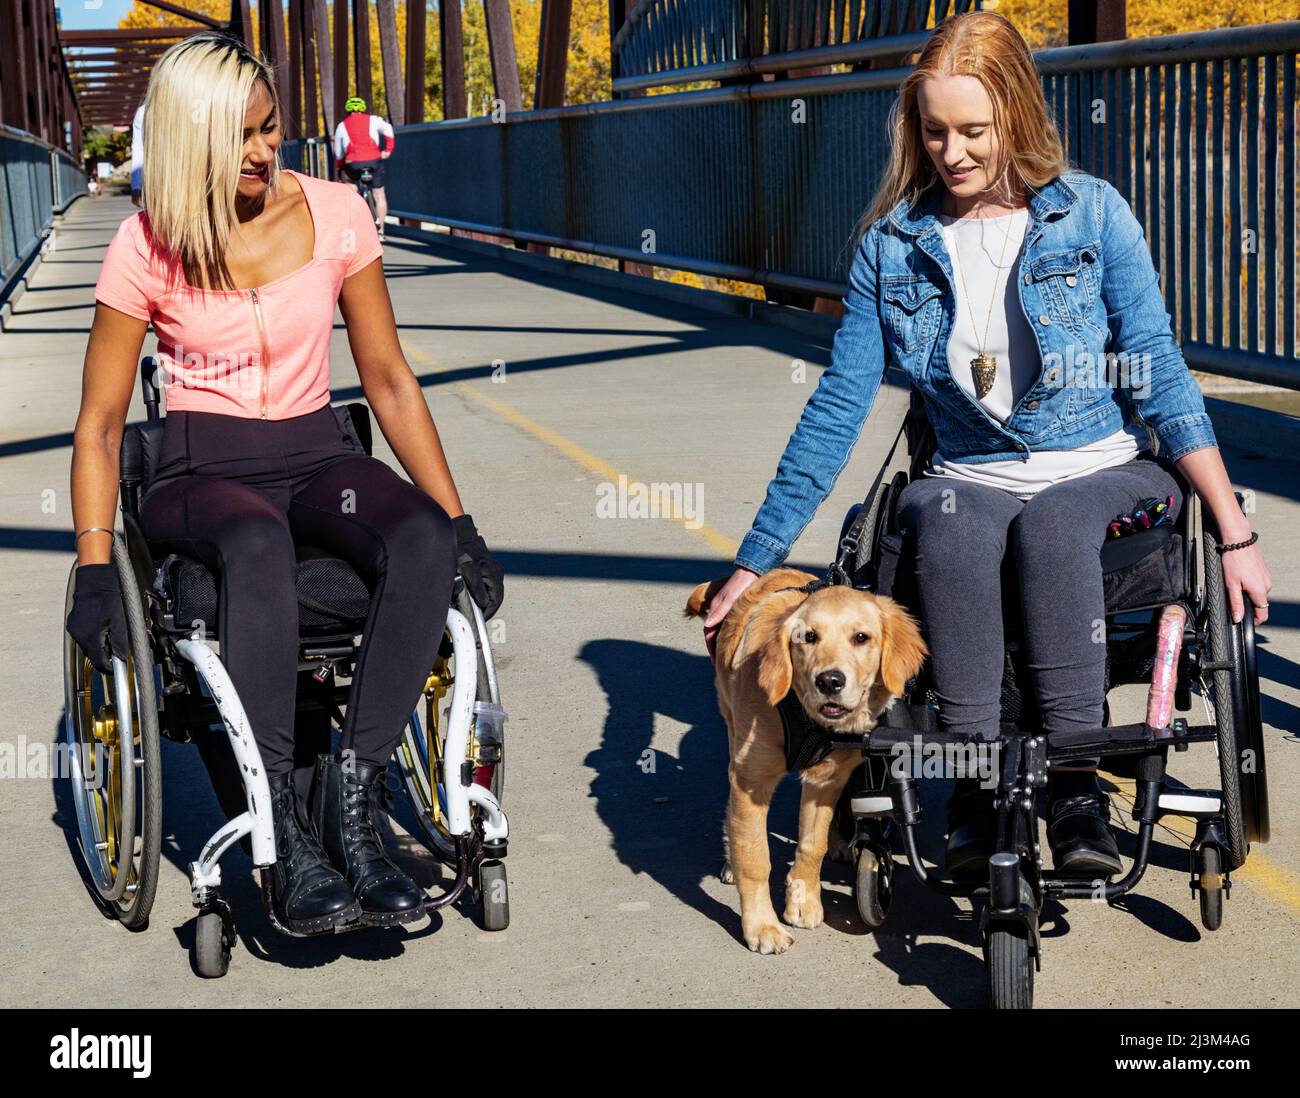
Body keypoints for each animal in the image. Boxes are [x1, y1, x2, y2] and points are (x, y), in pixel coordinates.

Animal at [681, 566, 925, 951]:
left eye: (861, 637)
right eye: (808, 637)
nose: (830, 681)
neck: (805, 712)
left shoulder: (827, 778)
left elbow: (813, 844)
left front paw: (804, 901)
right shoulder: (751, 781)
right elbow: (755, 856)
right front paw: (762, 926)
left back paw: (842, 842)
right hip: (732, 729)